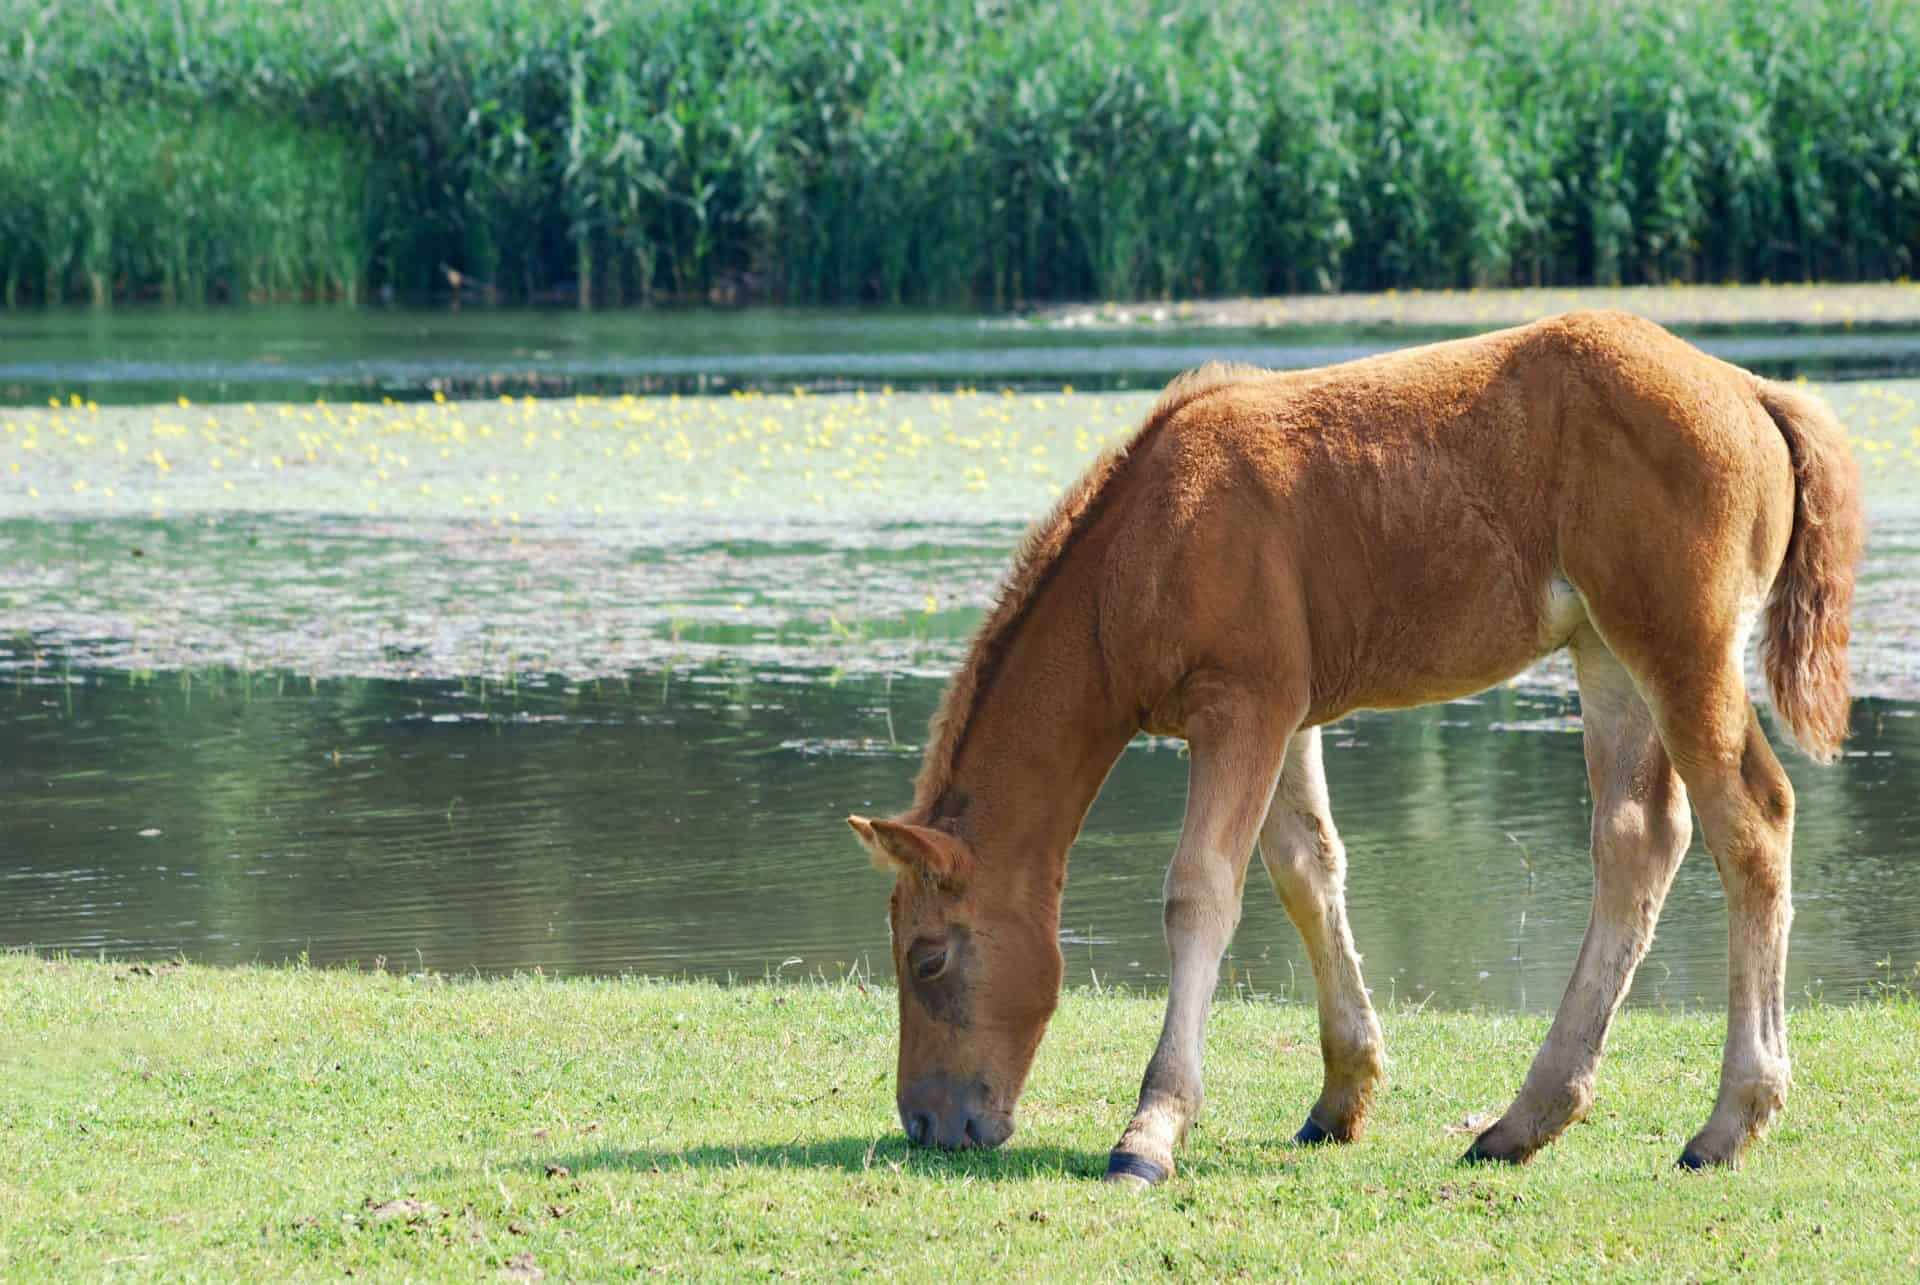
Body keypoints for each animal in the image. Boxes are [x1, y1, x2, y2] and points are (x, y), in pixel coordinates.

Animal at [844, 313, 1858, 1183]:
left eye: (927, 959)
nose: (928, 1122)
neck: (1148, 541)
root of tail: (1752, 390)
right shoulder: (1287, 716)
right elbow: (1307, 871)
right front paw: (1342, 1095)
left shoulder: (1242, 707)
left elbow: (1201, 891)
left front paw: (1151, 1132)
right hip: (1608, 654)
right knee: (1639, 840)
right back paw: (1523, 1120)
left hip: (1681, 648)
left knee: (1753, 822)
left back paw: (1729, 1120)